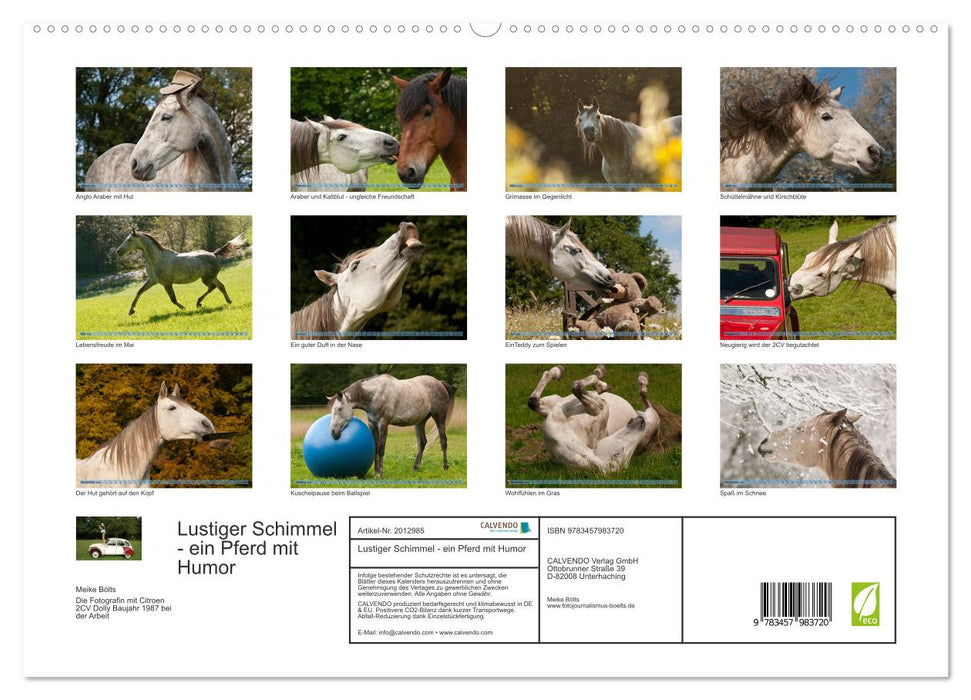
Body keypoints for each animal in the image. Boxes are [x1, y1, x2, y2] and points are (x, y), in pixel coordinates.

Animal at [116, 228, 247, 315]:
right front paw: (131, 311)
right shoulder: (152, 281)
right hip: (208, 278)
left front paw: (183, 308)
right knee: (218, 287)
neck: (157, 259)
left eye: (129, 240)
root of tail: (214, 254)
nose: (118, 251)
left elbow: (173, 299)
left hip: (208, 277)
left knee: (216, 287)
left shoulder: (167, 283)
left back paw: (207, 302)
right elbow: (139, 292)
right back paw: (216, 302)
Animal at [526, 365, 662, 474]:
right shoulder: (551, 406)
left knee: (645, 397)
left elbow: (578, 387)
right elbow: (532, 401)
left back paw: (641, 379)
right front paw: (557, 371)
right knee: (645, 398)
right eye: (618, 454)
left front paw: (600, 382)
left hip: (652, 419)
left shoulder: (600, 407)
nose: (641, 423)